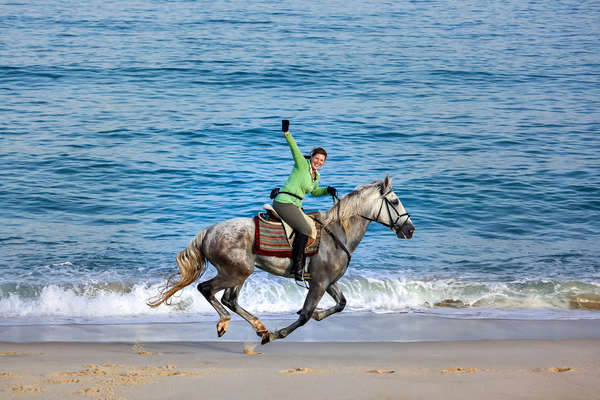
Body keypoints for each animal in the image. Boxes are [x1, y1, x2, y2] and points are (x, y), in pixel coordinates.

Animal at [148, 177, 414, 346]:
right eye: (394, 202)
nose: (410, 229)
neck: (337, 233)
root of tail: (209, 231)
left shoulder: (328, 281)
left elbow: (341, 304)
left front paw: (317, 317)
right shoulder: (319, 283)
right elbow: (305, 315)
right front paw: (276, 335)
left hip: (239, 273)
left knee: (229, 299)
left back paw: (258, 326)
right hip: (234, 273)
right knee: (207, 289)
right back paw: (228, 323)